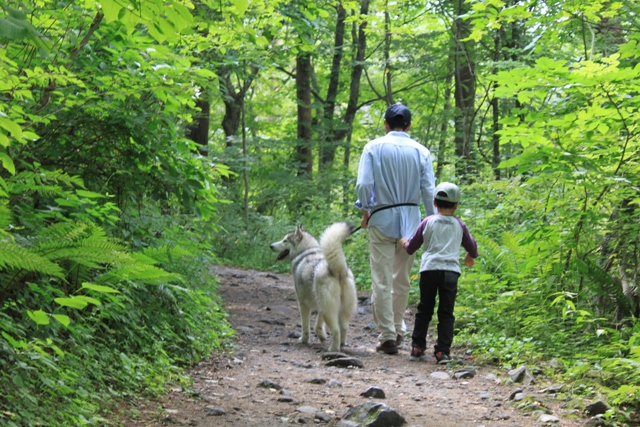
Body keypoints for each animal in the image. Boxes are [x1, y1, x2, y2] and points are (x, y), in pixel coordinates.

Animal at [270, 222, 358, 352]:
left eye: (285, 240)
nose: (271, 246)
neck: (306, 251)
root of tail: (338, 270)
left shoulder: (303, 305)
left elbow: (305, 326)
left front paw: (304, 340)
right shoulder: (320, 306)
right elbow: (318, 325)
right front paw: (321, 336)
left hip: (329, 312)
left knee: (336, 330)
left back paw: (333, 349)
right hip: (340, 310)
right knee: (344, 328)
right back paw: (341, 345)